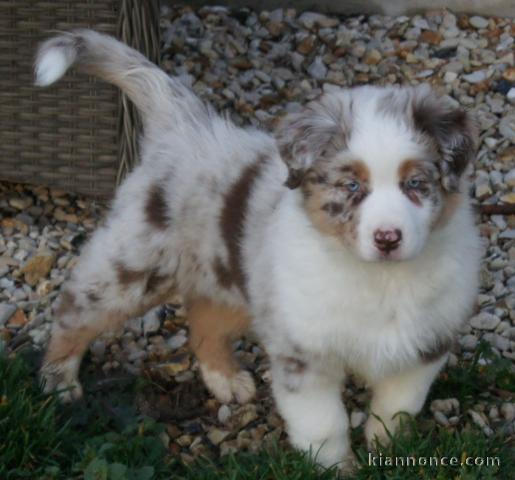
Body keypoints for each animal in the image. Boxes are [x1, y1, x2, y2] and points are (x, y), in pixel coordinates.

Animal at [35, 30, 480, 468]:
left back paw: (227, 381)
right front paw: (335, 468)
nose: (388, 238)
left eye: (415, 184)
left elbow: (396, 409)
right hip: (134, 267)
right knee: (74, 312)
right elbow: (324, 425)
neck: (380, 278)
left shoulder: (423, 348)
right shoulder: (302, 354)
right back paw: (58, 382)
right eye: (352, 186)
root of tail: (185, 125)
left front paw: (390, 452)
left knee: (204, 321)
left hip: (235, 278)